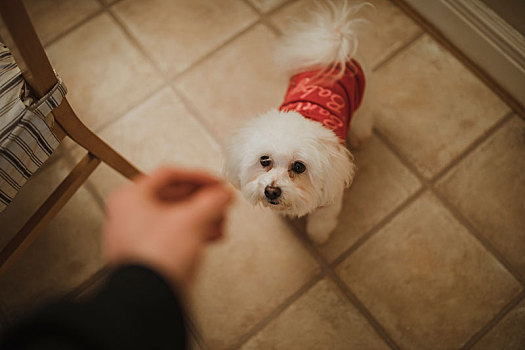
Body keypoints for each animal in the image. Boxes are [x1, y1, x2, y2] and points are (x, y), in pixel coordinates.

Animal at [223, 1, 374, 245]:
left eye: (299, 167)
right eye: (264, 160)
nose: (271, 191)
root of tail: (334, 48)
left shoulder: (328, 201)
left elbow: (321, 221)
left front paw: (318, 237)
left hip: (364, 99)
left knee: (364, 118)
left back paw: (360, 137)